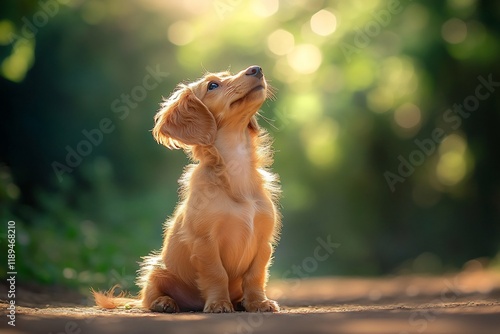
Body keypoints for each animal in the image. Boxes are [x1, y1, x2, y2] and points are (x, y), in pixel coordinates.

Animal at [94, 66, 282, 314]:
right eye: (212, 85)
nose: (256, 69)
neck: (235, 165)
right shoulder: (205, 242)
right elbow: (217, 274)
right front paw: (219, 303)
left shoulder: (263, 241)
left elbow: (255, 275)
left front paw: (258, 303)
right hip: (156, 268)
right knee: (148, 297)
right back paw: (164, 302)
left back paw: (240, 302)